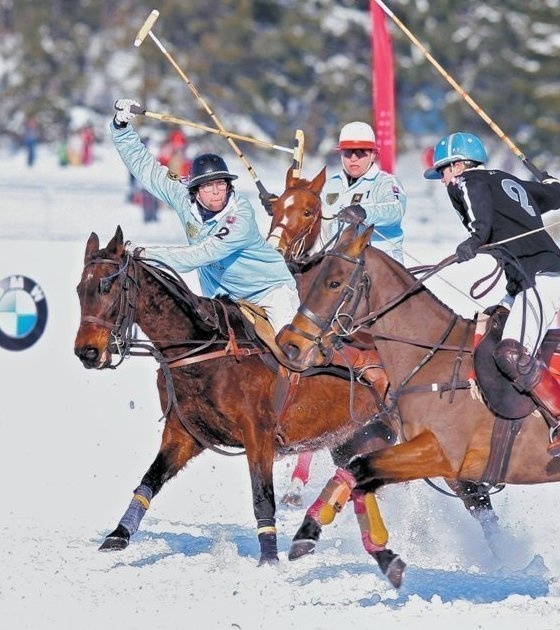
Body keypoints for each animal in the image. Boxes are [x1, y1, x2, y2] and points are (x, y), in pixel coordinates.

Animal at [74, 226, 406, 584]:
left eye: (107, 287)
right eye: (80, 289)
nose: (87, 352)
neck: (203, 350)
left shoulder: (257, 434)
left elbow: (262, 498)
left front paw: (269, 559)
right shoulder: (184, 432)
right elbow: (150, 479)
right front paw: (118, 535)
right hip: (353, 439)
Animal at [276, 225, 560, 552]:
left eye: (333, 283)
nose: (290, 345)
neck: (430, 359)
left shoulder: (441, 453)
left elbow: (361, 466)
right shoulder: (448, 469)